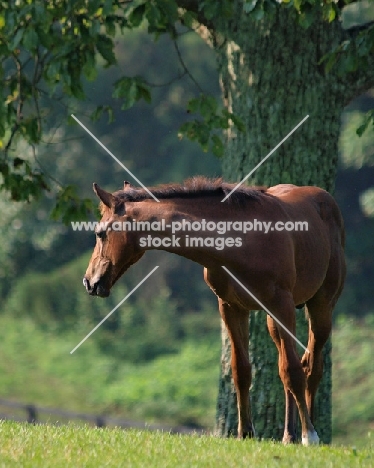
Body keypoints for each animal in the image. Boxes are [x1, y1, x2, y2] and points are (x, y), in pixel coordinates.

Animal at [83, 176, 346, 446]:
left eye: (100, 233)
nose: (90, 282)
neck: (242, 242)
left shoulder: (280, 304)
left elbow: (293, 371)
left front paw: (309, 435)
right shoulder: (231, 307)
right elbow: (241, 370)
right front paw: (245, 433)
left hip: (320, 307)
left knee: (311, 366)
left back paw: (309, 432)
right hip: (273, 320)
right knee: (288, 367)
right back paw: (288, 435)